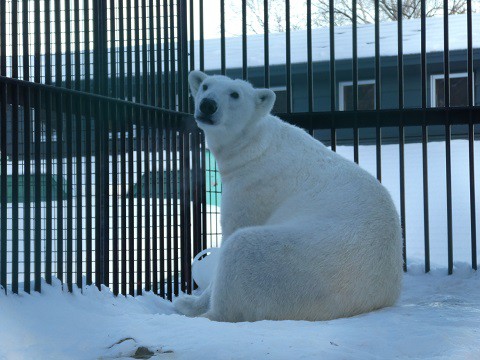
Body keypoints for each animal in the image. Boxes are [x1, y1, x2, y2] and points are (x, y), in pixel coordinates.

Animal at [174, 71, 404, 324]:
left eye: (235, 94)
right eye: (205, 86)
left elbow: (234, 229)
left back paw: (197, 310)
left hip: (293, 268)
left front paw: (192, 300)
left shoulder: (254, 187)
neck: (255, 146)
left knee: (240, 251)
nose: (208, 105)